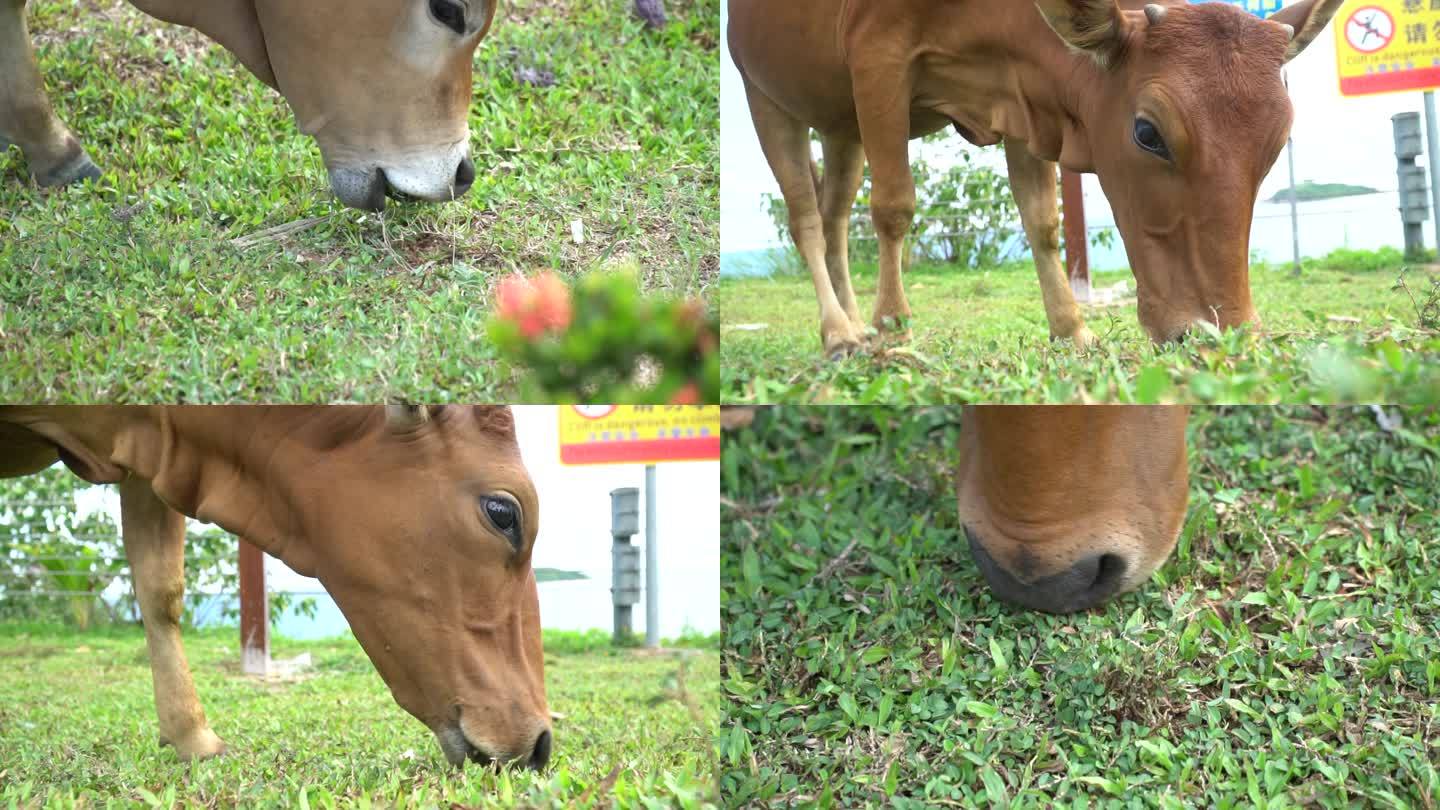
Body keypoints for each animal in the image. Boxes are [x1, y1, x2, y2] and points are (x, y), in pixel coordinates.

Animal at [731, 0, 1347, 353]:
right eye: (1148, 132)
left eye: (1275, 144)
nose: (1221, 336)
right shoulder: (876, 56)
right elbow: (894, 206)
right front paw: (893, 325)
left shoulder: (1021, 98)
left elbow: (1044, 224)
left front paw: (1071, 328)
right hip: (765, 95)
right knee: (807, 220)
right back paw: (839, 330)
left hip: (842, 128)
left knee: (835, 220)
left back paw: (853, 324)